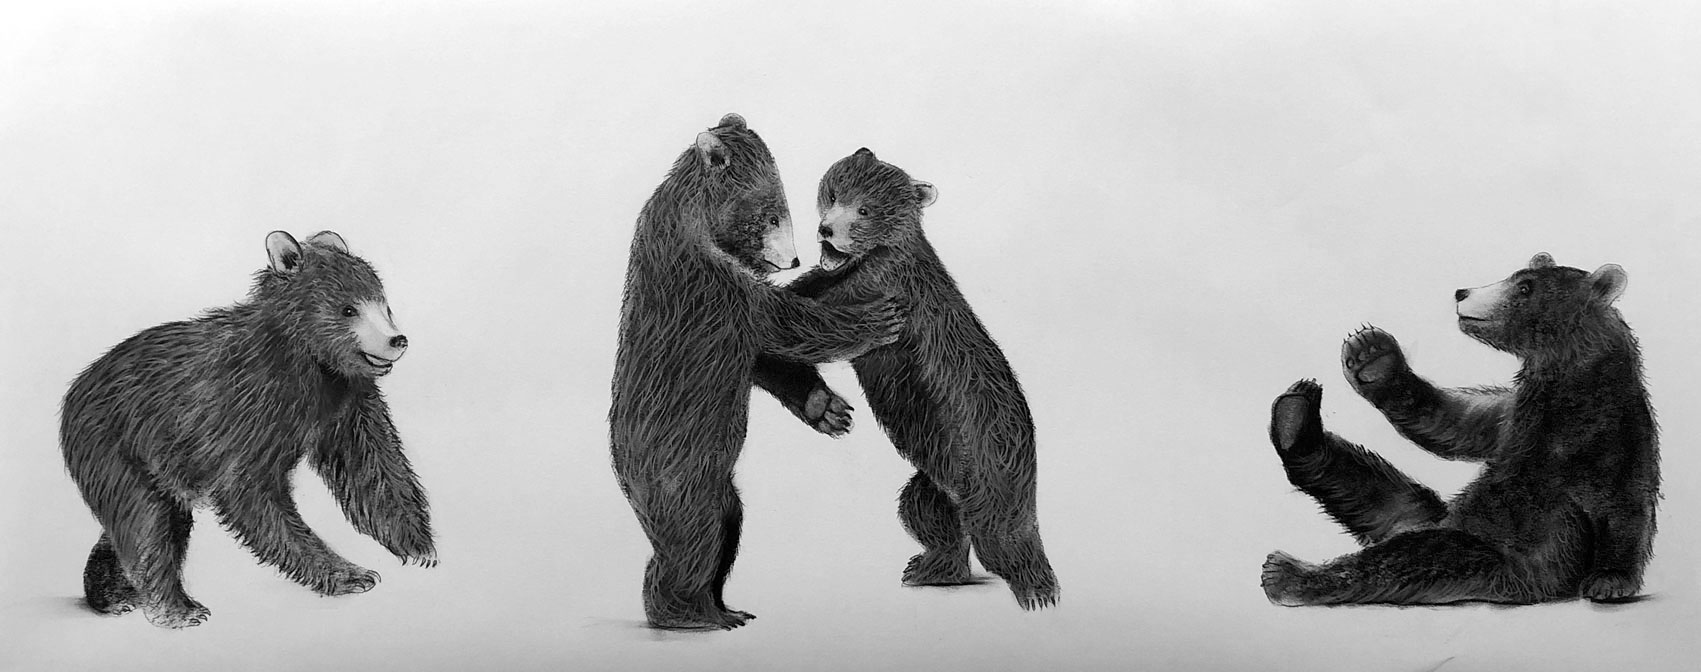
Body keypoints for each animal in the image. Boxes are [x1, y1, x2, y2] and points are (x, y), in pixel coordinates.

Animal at [60, 230, 435, 629]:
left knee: (154, 520)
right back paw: (178, 608)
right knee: (146, 524)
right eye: (349, 309)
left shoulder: (345, 400)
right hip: (116, 444)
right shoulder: (245, 408)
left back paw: (111, 595)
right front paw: (350, 574)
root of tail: (76, 387)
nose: (397, 340)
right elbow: (250, 490)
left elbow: (373, 465)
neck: (309, 363)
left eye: (384, 305)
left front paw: (419, 545)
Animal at [609, 115, 906, 630]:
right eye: (771, 214)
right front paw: (876, 318)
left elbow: (766, 358)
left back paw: (724, 604)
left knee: (730, 523)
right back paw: (690, 612)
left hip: (718, 480)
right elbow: (781, 324)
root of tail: (627, 480)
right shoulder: (710, 288)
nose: (794, 258)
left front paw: (828, 409)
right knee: (694, 535)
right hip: (675, 464)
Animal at [752, 148, 1060, 610]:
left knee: (1002, 538)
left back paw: (1038, 590)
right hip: (937, 479)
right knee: (927, 516)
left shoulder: (882, 284)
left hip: (988, 461)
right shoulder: (834, 277)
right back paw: (929, 568)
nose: (827, 229)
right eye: (835, 192)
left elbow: (817, 324)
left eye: (865, 209)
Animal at [1262, 252, 1657, 606]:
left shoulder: (1603, 432)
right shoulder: (1512, 417)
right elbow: (1454, 421)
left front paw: (1609, 580)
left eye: (1525, 287)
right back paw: (1295, 419)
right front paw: (1373, 358)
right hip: (1418, 510)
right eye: (1515, 276)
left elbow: (1621, 501)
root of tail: (1399, 526)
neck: (1569, 384)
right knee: (1365, 482)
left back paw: (1287, 573)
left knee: (1420, 555)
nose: (1461, 292)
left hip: (1494, 561)